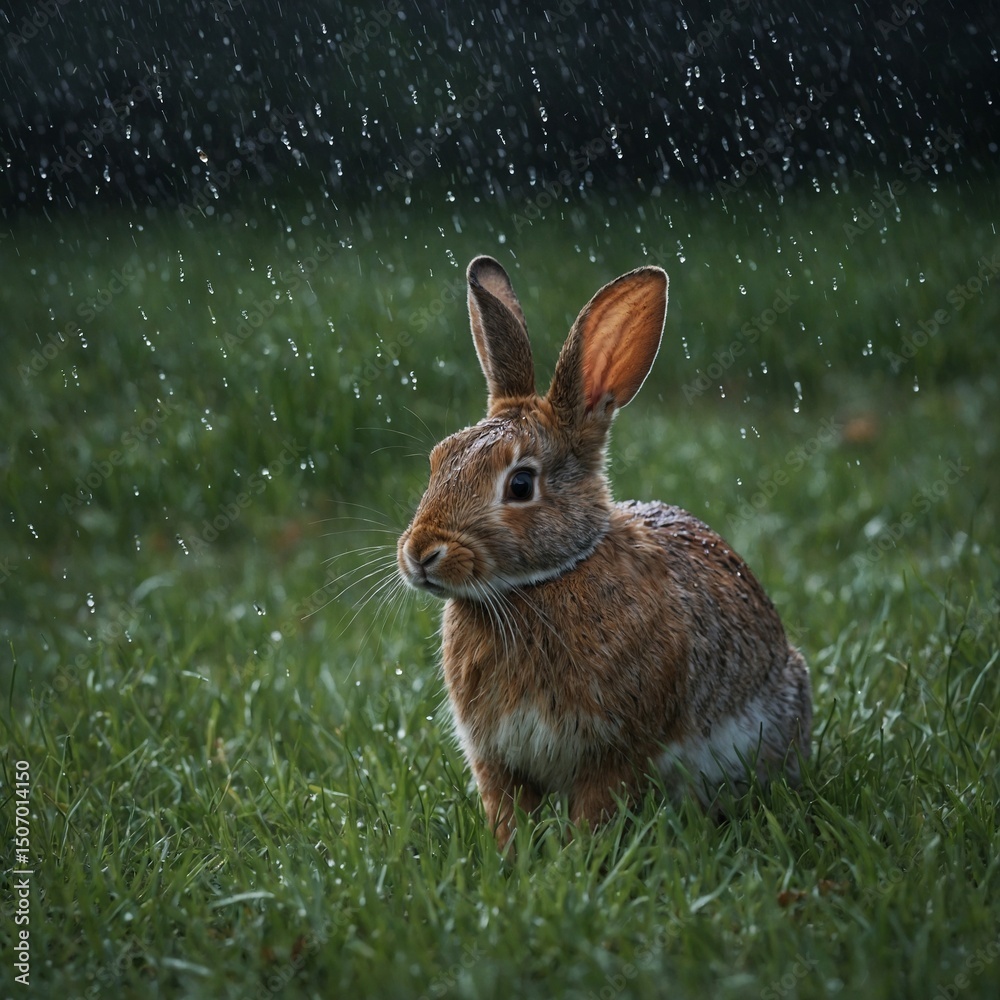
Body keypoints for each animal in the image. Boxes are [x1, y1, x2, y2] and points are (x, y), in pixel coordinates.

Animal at [397, 255, 811, 851]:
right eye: (438, 460)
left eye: (520, 485)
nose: (421, 553)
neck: (546, 580)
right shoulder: (497, 759)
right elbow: (507, 813)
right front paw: (511, 858)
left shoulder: (614, 752)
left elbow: (593, 810)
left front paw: (577, 859)